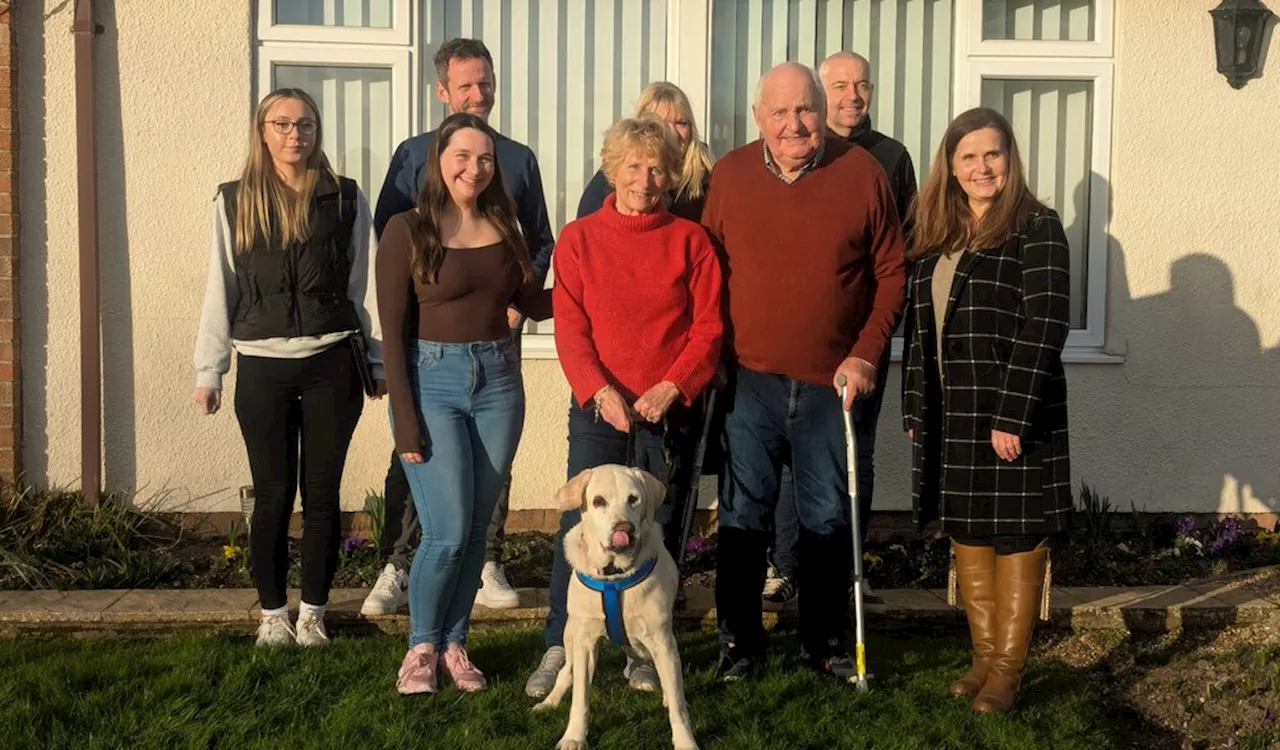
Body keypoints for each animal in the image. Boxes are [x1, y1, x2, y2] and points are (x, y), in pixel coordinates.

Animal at [532, 460, 701, 747]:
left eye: (633, 499)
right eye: (598, 501)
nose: (625, 529)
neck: (614, 575)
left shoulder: (663, 641)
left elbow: (678, 703)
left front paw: (685, 742)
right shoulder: (585, 642)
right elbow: (580, 698)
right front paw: (574, 737)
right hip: (570, 633)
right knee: (566, 672)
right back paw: (549, 701)